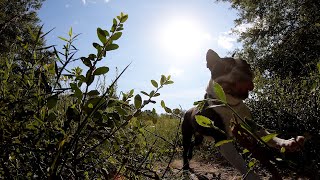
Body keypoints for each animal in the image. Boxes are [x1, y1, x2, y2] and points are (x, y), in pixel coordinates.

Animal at [182, 49, 304, 180]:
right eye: (227, 67)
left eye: (247, 64)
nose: (245, 68)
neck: (230, 105)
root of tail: (188, 111)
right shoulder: (223, 140)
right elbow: (240, 162)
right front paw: (254, 177)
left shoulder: (250, 124)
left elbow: (268, 135)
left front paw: (286, 142)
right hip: (186, 134)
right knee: (185, 149)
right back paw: (185, 168)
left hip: (199, 137)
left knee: (193, 144)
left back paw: (190, 157)